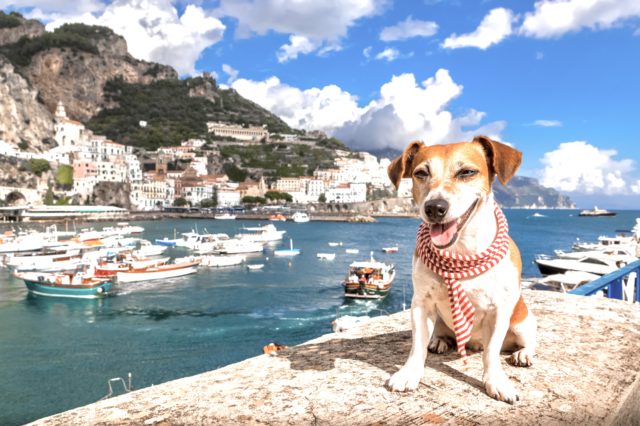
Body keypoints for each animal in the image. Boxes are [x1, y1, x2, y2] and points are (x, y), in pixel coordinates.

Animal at [388, 136, 536, 402]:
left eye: (467, 172)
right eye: (421, 173)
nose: (434, 207)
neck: (461, 251)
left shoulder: (499, 310)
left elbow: (491, 352)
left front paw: (496, 381)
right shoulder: (421, 303)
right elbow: (417, 346)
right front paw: (410, 373)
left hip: (522, 323)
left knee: (527, 342)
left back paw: (523, 354)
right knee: (437, 333)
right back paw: (439, 341)